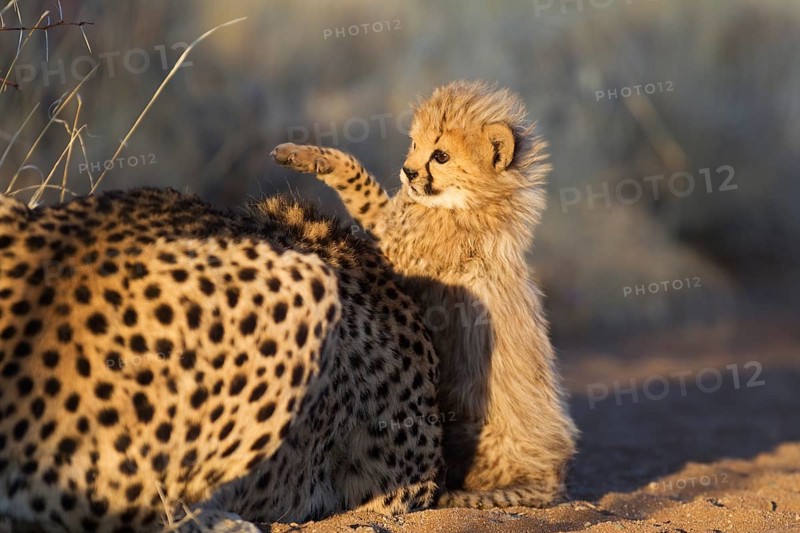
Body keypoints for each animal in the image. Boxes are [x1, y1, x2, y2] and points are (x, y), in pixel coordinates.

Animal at [272, 79, 578, 510]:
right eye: (414, 144)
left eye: (441, 155)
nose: (408, 170)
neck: (473, 202)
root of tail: (552, 475)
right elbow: (367, 189)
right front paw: (307, 156)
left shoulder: (395, 255)